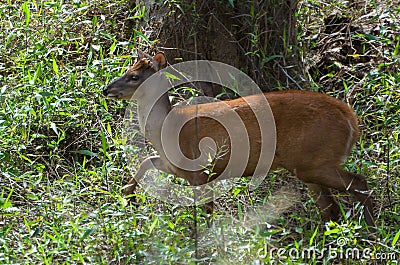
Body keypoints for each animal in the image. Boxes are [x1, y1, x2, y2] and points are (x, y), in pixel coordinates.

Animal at [103, 51, 376, 227]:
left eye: (134, 77)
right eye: (127, 69)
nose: (106, 89)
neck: (166, 129)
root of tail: (350, 119)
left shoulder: (201, 170)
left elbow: (206, 211)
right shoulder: (176, 166)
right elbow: (146, 161)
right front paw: (127, 195)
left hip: (315, 160)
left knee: (359, 183)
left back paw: (370, 229)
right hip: (309, 164)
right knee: (331, 208)